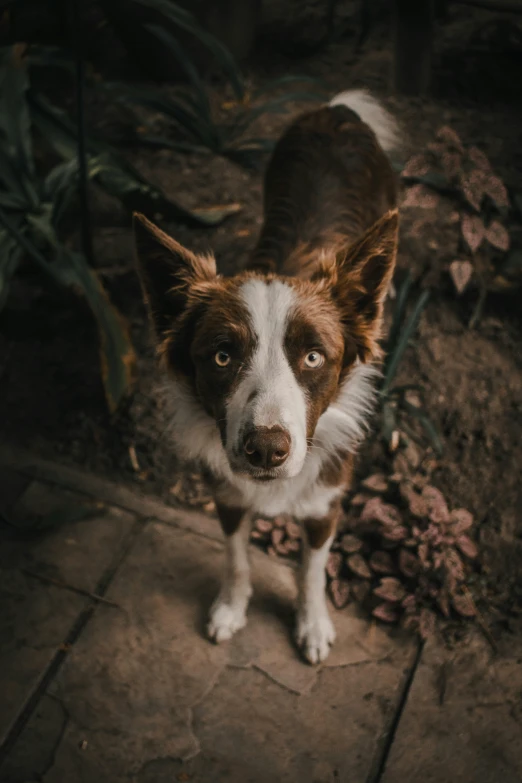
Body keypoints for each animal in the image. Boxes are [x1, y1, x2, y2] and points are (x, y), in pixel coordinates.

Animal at [133, 89, 398, 664]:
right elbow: (236, 558)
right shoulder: (226, 495)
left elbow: (313, 571)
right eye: (222, 356)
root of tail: (337, 112)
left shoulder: (325, 502)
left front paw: (313, 625)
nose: (266, 450)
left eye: (314, 358)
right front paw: (230, 609)